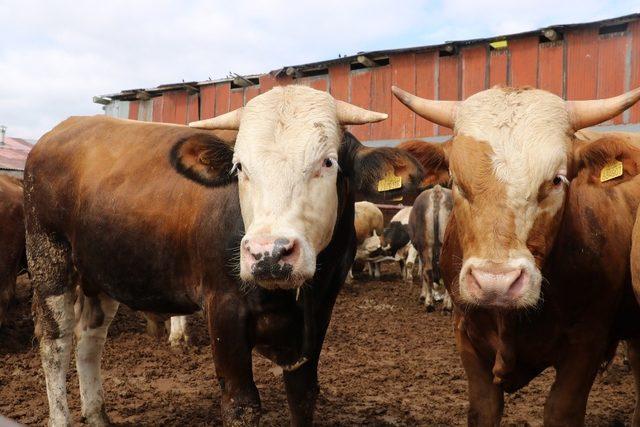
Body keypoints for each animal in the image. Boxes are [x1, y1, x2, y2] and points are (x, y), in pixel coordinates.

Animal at [26, 85, 424, 426]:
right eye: (239, 167)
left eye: (327, 162)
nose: (269, 253)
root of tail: (58, 131)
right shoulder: (224, 309)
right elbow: (241, 406)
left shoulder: (320, 312)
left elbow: (303, 397)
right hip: (49, 261)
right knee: (55, 344)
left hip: (102, 273)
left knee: (89, 340)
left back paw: (97, 414)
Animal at [392, 84, 640, 427]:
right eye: (456, 181)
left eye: (557, 179)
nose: (495, 283)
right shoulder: (465, 335)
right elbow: (483, 408)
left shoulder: (587, 342)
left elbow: (561, 410)